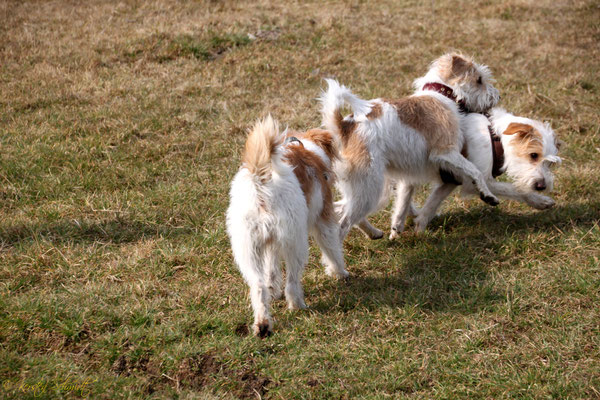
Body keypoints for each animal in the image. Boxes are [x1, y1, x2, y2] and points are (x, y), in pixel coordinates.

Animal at [225, 115, 346, 338]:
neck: (306, 147)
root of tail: (261, 180)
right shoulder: (323, 219)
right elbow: (332, 248)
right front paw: (339, 272)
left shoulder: (271, 242)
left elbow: (271, 269)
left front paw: (273, 290)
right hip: (295, 241)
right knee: (292, 280)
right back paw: (297, 304)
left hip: (249, 248)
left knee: (258, 286)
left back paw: (262, 324)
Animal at [322, 53, 500, 241]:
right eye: (479, 80)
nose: (498, 97)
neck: (442, 94)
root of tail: (343, 127)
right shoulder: (445, 152)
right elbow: (474, 170)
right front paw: (488, 195)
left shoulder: (409, 174)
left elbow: (404, 200)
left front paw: (399, 226)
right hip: (370, 187)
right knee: (343, 223)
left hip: (364, 188)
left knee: (343, 209)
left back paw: (375, 233)